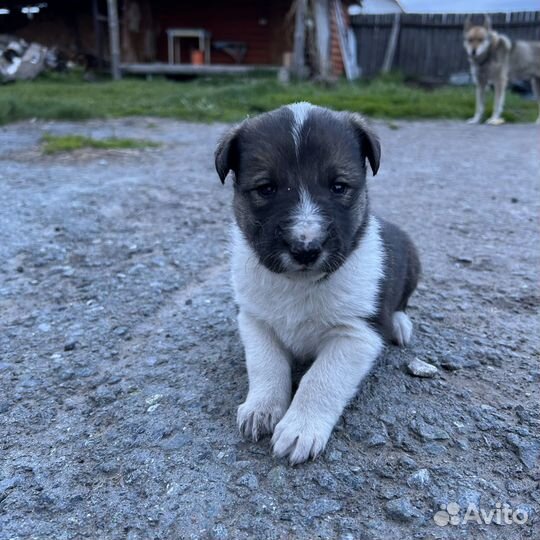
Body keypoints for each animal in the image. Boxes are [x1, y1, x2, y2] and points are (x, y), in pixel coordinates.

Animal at [215, 104, 422, 464]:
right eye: (266, 189)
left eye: (338, 186)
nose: (306, 248)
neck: (299, 284)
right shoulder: (254, 320)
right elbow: (266, 365)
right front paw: (261, 408)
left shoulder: (357, 334)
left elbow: (321, 379)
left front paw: (299, 429)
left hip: (412, 263)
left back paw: (399, 325)